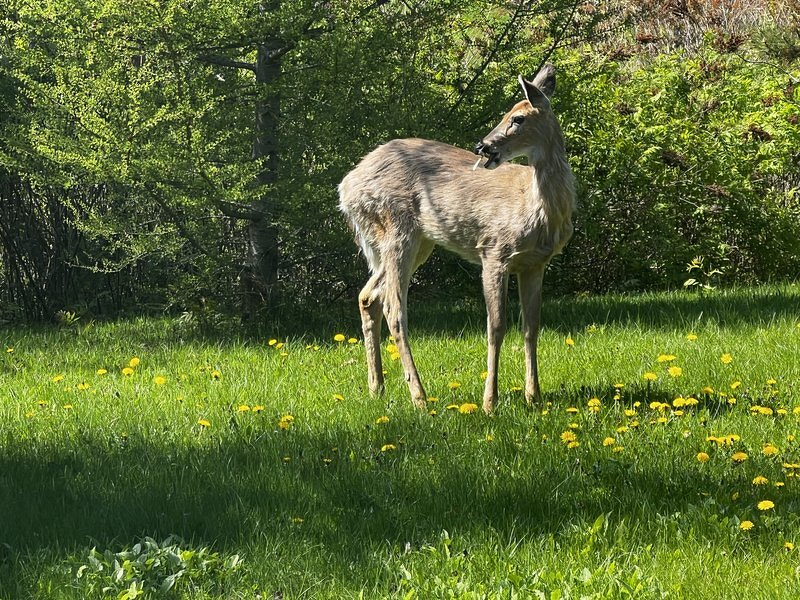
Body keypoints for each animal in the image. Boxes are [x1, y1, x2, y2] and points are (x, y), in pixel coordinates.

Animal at [338, 64, 575, 413]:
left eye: (518, 118)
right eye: (507, 114)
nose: (483, 146)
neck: (534, 207)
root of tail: (345, 188)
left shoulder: (535, 263)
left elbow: (531, 327)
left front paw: (535, 398)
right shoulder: (494, 252)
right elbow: (496, 327)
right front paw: (490, 402)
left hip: (416, 241)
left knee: (368, 297)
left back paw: (377, 388)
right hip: (396, 229)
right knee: (394, 308)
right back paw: (419, 397)